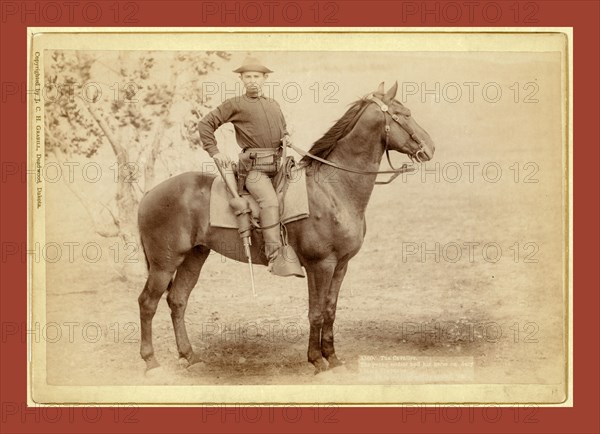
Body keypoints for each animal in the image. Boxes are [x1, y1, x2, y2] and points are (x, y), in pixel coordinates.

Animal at [137, 81, 436, 372]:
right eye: (402, 114)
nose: (431, 148)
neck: (332, 189)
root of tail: (149, 193)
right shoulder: (320, 265)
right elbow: (316, 312)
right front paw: (317, 360)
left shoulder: (341, 265)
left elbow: (330, 310)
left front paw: (333, 357)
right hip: (165, 264)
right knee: (147, 303)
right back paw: (151, 360)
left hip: (194, 257)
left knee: (177, 300)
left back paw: (189, 356)